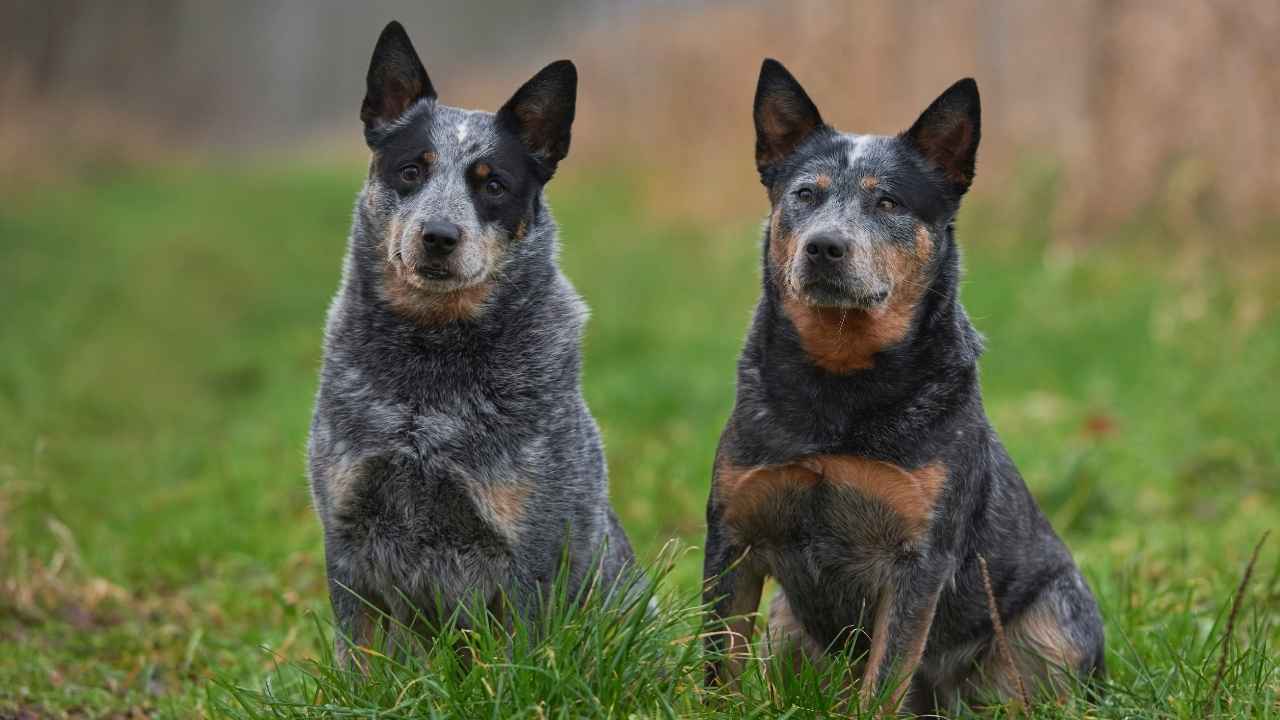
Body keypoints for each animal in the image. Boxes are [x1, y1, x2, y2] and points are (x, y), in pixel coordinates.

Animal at [304, 20, 634, 661]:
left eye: (494, 185)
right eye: (412, 170)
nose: (438, 235)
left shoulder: (528, 553)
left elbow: (516, 658)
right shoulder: (348, 536)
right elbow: (360, 658)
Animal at [706, 61, 1105, 712]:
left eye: (888, 200)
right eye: (805, 194)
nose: (824, 245)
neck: (839, 386)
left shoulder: (918, 561)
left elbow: (886, 677)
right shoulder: (733, 533)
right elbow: (716, 666)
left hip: (1056, 627)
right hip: (784, 625)